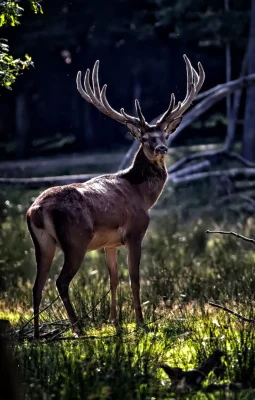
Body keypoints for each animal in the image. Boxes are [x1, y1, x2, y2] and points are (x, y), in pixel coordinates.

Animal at [26, 54, 205, 340]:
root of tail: (37, 210)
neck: (142, 195)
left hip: (42, 243)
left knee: (37, 284)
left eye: (165, 135)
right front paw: (141, 322)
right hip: (75, 239)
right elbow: (134, 278)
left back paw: (36, 334)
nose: (161, 148)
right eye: (145, 138)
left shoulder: (109, 244)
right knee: (60, 281)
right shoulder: (135, 232)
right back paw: (78, 329)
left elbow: (113, 279)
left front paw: (114, 320)